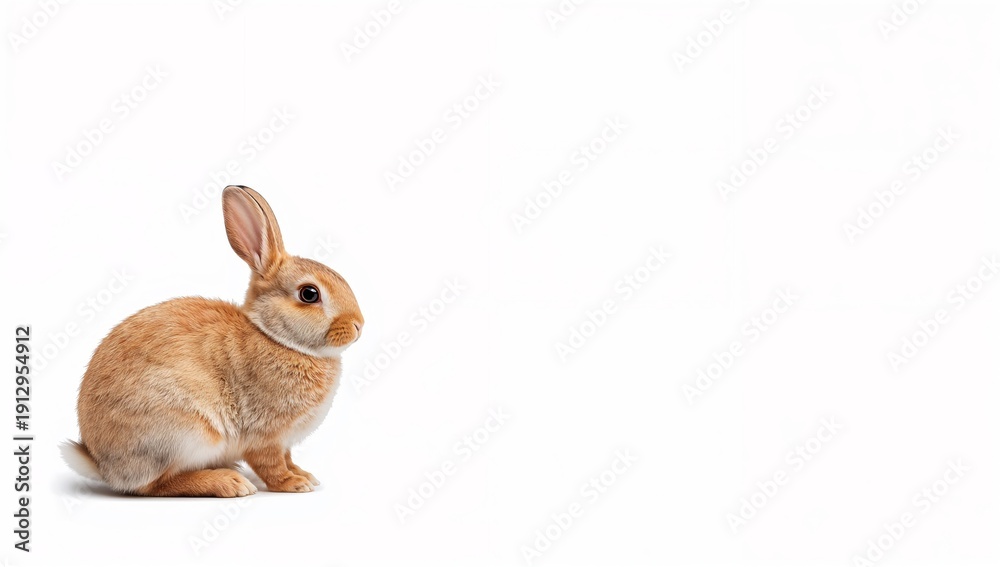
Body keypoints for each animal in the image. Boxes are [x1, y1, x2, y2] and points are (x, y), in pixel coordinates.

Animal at [60, 185, 364, 497]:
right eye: (309, 294)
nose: (358, 326)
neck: (274, 336)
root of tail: (102, 466)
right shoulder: (264, 435)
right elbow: (271, 464)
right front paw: (294, 484)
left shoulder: (284, 441)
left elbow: (288, 457)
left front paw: (305, 475)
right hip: (186, 433)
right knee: (155, 486)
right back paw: (229, 482)